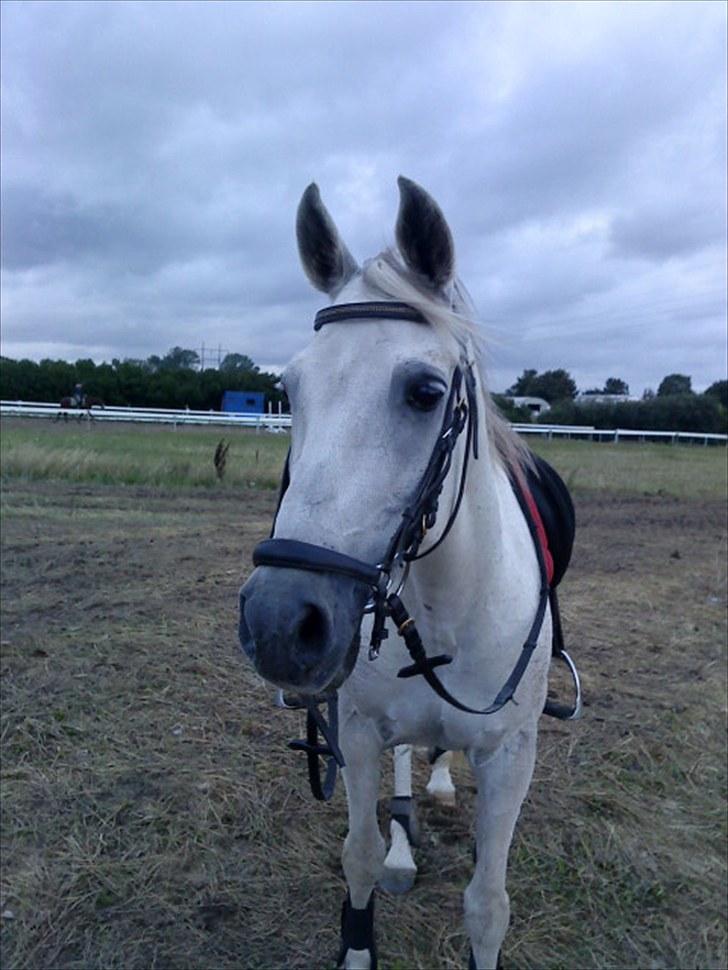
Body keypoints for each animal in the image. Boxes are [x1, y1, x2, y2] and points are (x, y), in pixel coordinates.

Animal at [240, 178, 564, 964]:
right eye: (291, 390)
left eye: (424, 391)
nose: (280, 624)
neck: (450, 606)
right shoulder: (356, 731)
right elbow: (356, 856)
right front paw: (361, 936)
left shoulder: (512, 755)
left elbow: (488, 906)